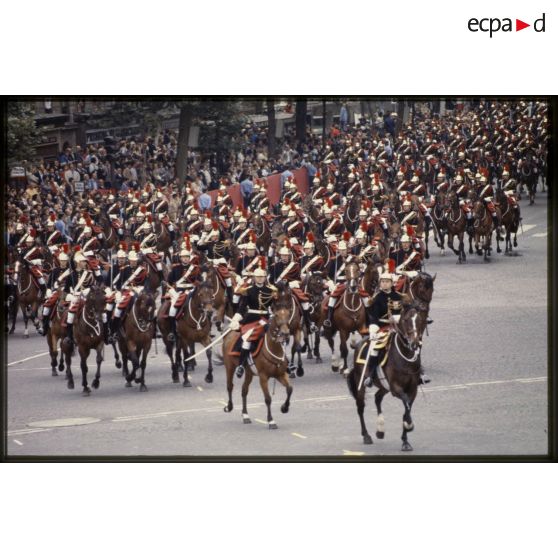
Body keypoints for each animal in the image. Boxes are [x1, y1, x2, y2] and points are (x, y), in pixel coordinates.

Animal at [348, 300, 430, 452]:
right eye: (406, 320)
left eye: (420, 320)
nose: (414, 343)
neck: (404, 359)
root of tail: (359, 345)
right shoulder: (396, 388)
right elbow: (406, 404)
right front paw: (409, 425)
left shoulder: (412, 389)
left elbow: (407, 408)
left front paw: (405, 440)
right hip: (361, 383)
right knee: (360, 407)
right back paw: (366, 435)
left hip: (383, 386)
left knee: (377, 398)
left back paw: (380, 430)